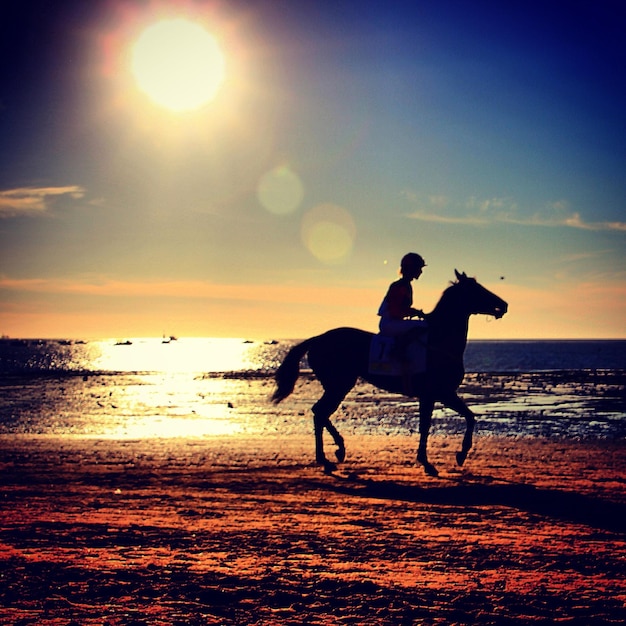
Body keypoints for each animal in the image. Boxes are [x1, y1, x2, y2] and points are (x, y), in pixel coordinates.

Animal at [272, 270, 508, 476]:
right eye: (476, 289)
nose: (504, 305)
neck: (439, 341)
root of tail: (317, 339)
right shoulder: (437, 394)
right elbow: (431, 425)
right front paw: (434, 461)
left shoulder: (439, 394)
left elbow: (467, 417)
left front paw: (457, 455)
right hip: (339, 384)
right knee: (320, 412)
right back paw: (329, 456)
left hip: (338, 385)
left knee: (320, 413)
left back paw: (336, 451)